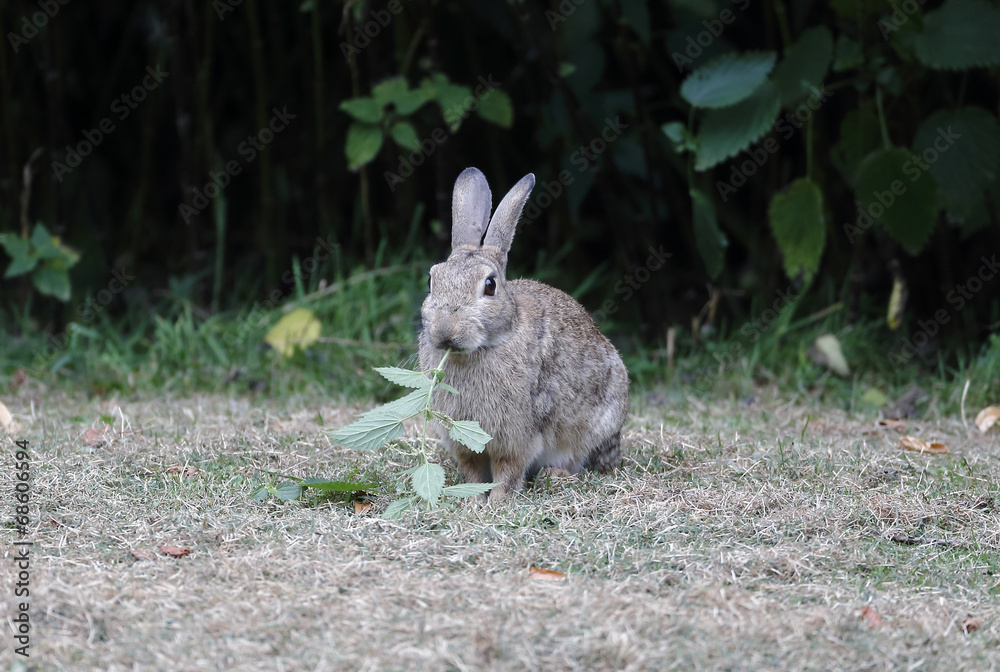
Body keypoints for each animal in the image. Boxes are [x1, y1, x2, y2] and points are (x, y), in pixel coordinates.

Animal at [418, 167, 630, 502]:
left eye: (490, 285)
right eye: (431, 281)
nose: (444, 329)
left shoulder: (518, 435)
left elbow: (509, 470)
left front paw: (497, 502)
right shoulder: (463, 441)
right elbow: (472, 470)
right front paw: (473, 500)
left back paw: (555, 475)